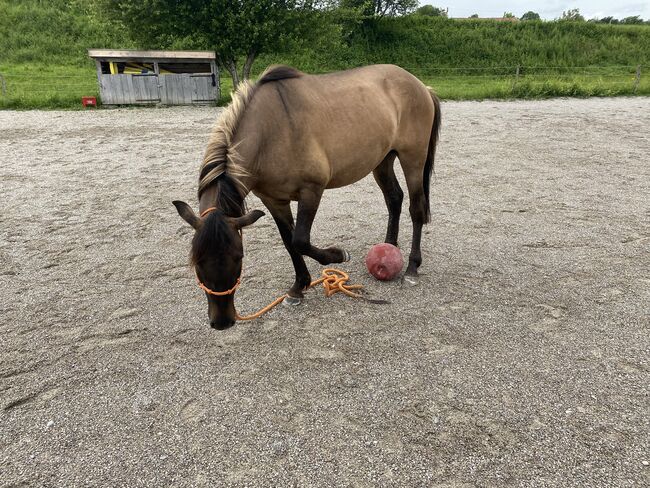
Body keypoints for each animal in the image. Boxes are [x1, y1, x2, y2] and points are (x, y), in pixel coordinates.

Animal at [172, 63, 440, 328]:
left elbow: (300, 240)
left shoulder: (311, 190)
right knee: (394, 198)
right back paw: (389, 246)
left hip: (413, 158)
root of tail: (420, 86)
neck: (270, 131)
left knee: (416, 209)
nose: (222, 321)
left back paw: (412, 269)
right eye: (196, 262)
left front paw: (337, 255)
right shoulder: (274, 200)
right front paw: (298, 288)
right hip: (383, 161)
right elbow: (290, 242)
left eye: (239, 257)